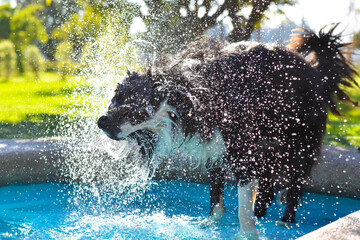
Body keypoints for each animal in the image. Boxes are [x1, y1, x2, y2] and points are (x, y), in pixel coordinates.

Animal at [97, 24, 358, 238]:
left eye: (132, 109)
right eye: (116, 97)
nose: (101, 122)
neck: (190, 94)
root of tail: (315, 72)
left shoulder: (241, 150)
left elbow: (242, 201)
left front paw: (248, 233)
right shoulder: (214, 149)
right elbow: (216, 193)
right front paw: (213, 222)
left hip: (298, 143)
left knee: (295, 183)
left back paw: (286, 220)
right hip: (268, 146)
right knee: (267, 183)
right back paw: (261, 212)